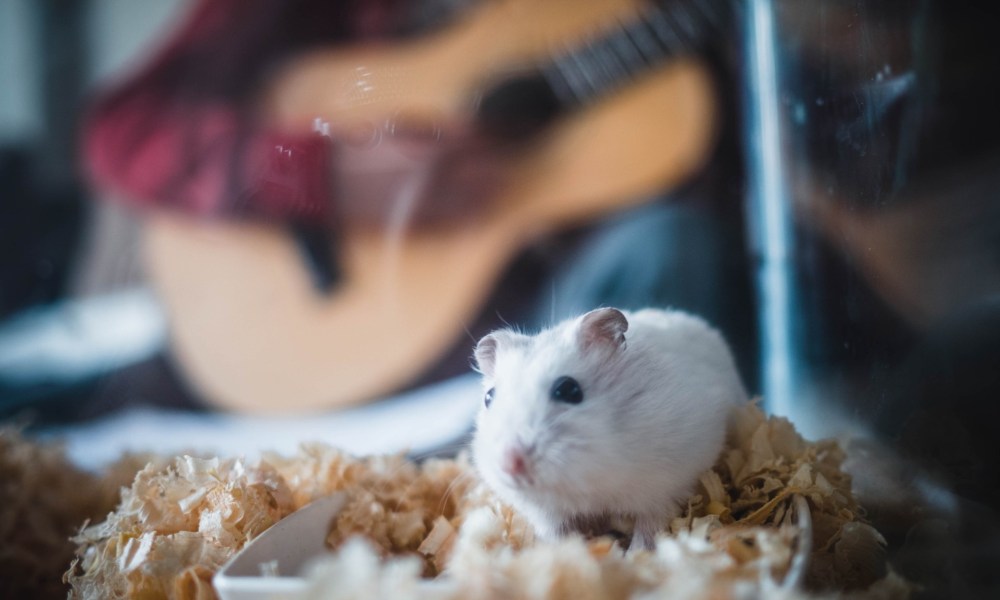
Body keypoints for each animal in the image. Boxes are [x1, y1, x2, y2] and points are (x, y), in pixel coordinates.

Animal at [472, 308, 748, 552]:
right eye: (488, 397)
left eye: (568, 389)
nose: (509, 463)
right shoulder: (547, 514)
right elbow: (559, 536)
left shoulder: (668, 486)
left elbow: (649, 527)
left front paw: (634, 556)